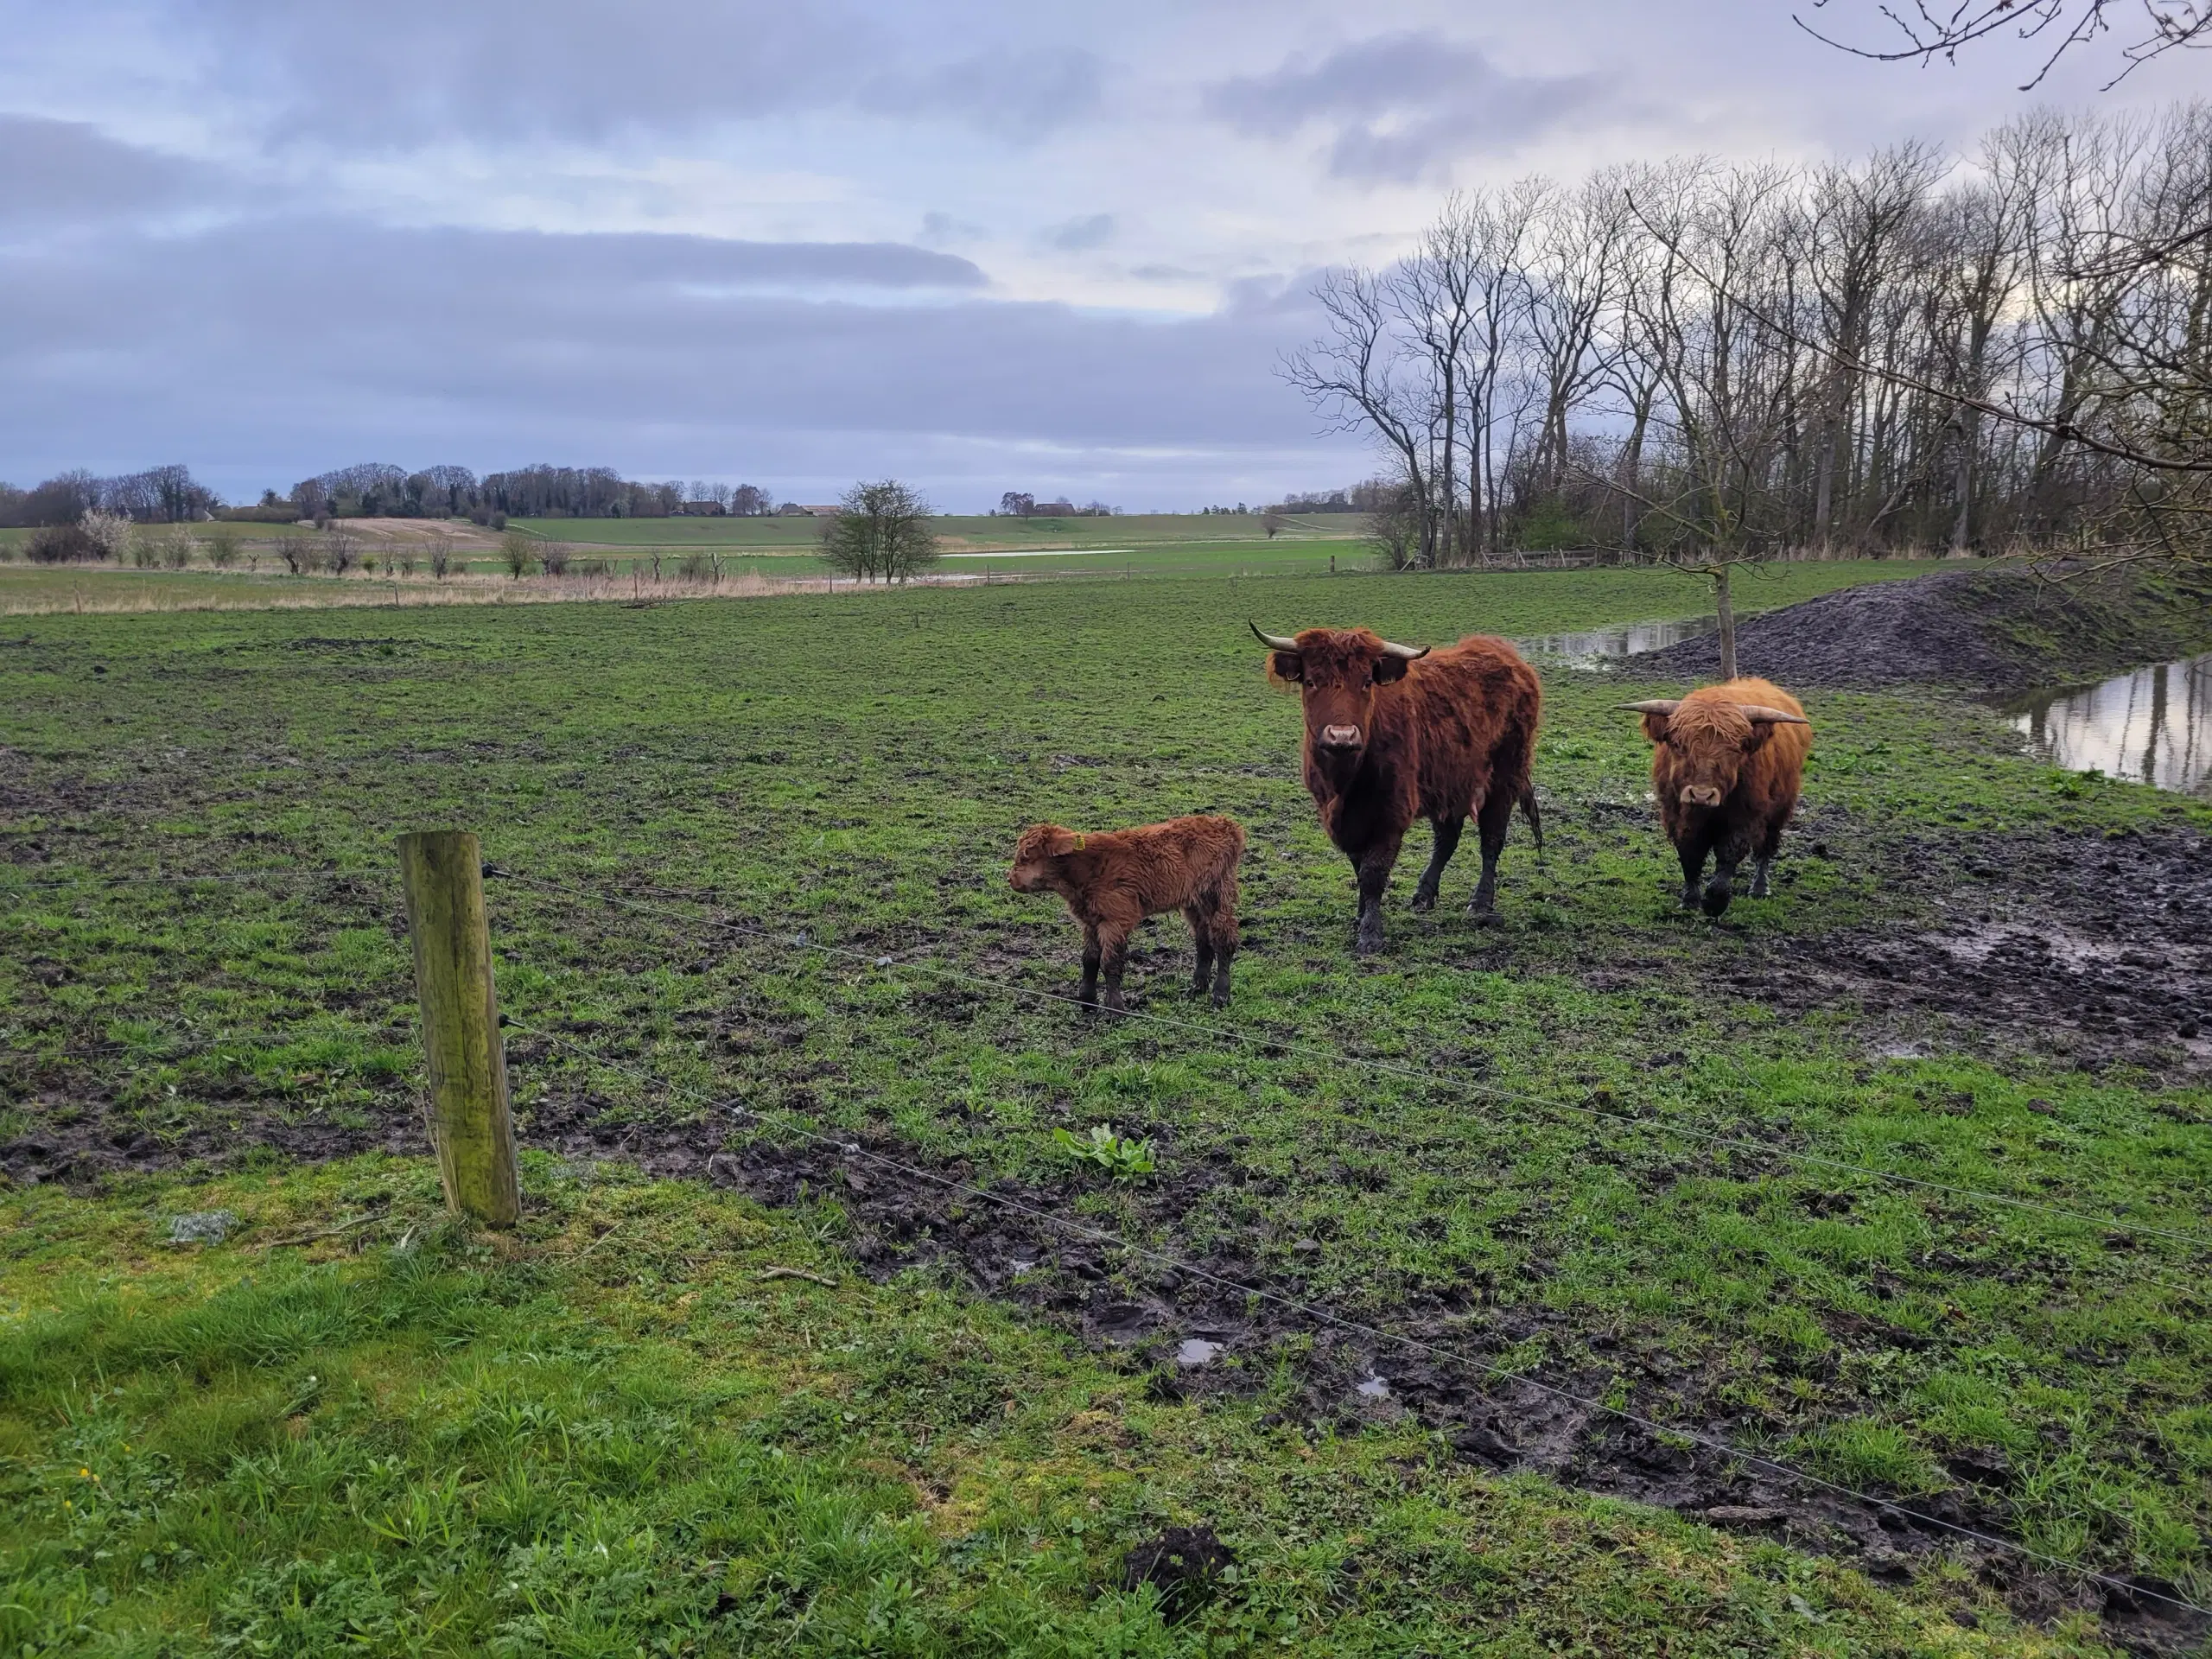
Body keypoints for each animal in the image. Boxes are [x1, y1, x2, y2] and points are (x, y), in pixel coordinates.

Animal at [1008, 814, 1247, 1013]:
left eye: (1026, 857)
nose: (1010, 878)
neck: (1088, 869)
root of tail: (1225, 823)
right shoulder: (1091, 921)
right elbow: (1089, 959)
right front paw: (1087, 1000)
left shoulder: (1116, 919)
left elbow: (1110, 963)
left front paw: (1116, 1009)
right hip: (1194, 901)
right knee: (1203, 939)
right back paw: (1197, 987)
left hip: (1216, 893)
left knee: (1223, 939)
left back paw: (1220, 994)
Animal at [1628, 681, 1814, 929]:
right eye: (1679, 744)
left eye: (1734, 749)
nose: (1701, 795)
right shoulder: (1678, 816)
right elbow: (1690, 855)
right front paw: (1690, 900)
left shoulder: (1745, 817)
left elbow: (1728, 856)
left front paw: (1715, 902)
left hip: (1780, 808)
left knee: (1766, 848)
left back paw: (1760, 888)